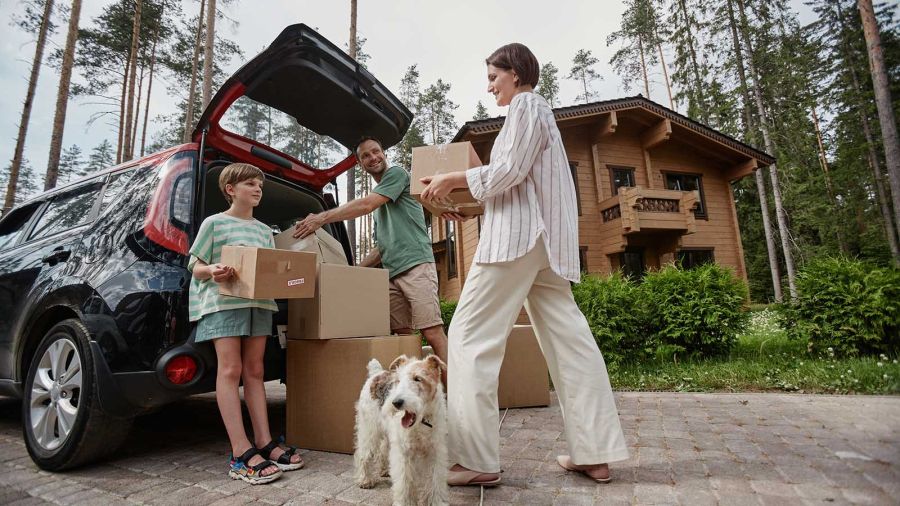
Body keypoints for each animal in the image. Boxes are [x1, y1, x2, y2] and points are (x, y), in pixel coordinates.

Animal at [354, 354, 448, 506]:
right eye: (398, 381)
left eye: (418, 378)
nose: (396, 403)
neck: (422, 422)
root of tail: (376, 374)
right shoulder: (404, 452)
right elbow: (404, 482)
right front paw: (405, 501)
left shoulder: (435, 451)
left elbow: (435, 480)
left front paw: (436, 502)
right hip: (369, 430)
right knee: (363, 455)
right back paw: (365, 480)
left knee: (382, 450)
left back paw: (384, 470)